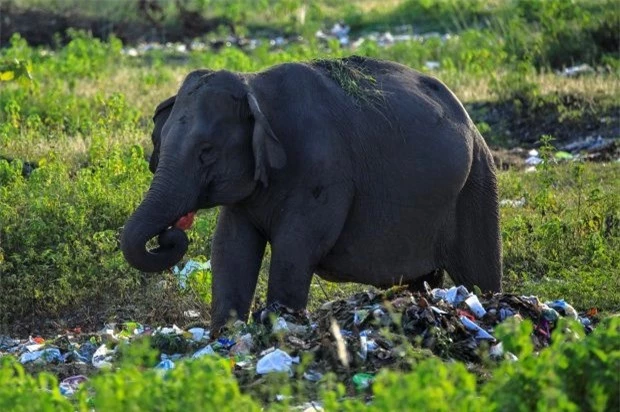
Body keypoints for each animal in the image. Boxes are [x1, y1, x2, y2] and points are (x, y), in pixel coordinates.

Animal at [118, 56, 502, 330]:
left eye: (206, 152)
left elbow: (296, 246)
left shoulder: (324, 168)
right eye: (158, 140)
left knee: (478, 274)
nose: (171, 234)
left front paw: (279, 326)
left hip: (477, 183)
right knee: (422, 280)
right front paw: (226, 338)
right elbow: (230, 246)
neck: (254, 85)